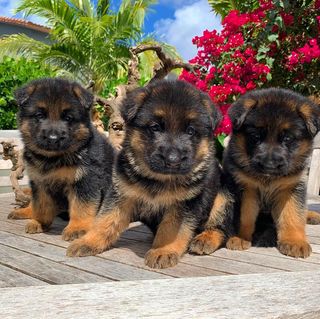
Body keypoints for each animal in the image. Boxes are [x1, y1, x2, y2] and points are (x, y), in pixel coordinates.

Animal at [10, 79, 114, 241]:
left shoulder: (85, 181)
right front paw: (40, 222)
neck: (54, 158)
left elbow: (81, 207)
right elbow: (41, 204)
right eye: (40, 115)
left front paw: (77, 228)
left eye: (68, 118)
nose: (53, 139)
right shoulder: (40, 182)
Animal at [66, 79, 228, 268]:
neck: (158, 179)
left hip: (222, 197)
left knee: (222, 229)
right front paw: (88, 241)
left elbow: (171, 228)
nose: (173, 160)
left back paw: (205, 239)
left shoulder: (185, 203)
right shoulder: (121, 194)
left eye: (191, 131)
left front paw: (163, 250)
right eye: (155, 127)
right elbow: (105, 220)